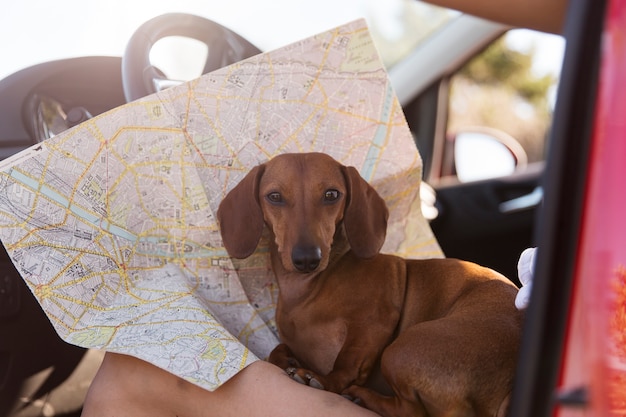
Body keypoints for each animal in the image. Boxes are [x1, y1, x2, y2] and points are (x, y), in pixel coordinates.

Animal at [217, 153, 520, 416]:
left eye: (331, 194)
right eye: (274, 196)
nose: (307, 259)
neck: (307, 290)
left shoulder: (376, 321)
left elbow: (347, 363)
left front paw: (322, 381)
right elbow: (276, 351)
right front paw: (287, 360)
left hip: (400, 351)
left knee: (409, 411)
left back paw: (360, 396)